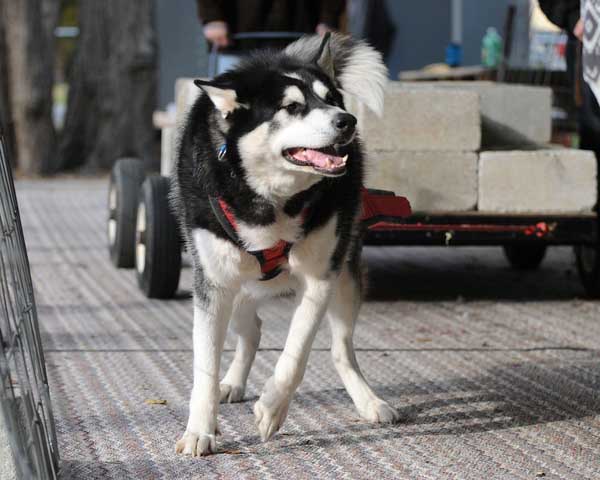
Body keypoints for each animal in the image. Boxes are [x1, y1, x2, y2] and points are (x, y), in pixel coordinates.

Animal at [172, 31, 398, 456]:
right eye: (291, 107)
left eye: (332, 99)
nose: (347, 120)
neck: (270, 201)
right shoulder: (212, 284)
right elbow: (205, 367)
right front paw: (200, 430)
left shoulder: (320, 277)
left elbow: (297, 352)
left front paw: (273, 408)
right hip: (237, 287)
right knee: (252, 330)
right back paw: (233, 382)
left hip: (345, 277)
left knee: (340, 349)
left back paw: (368, 401)